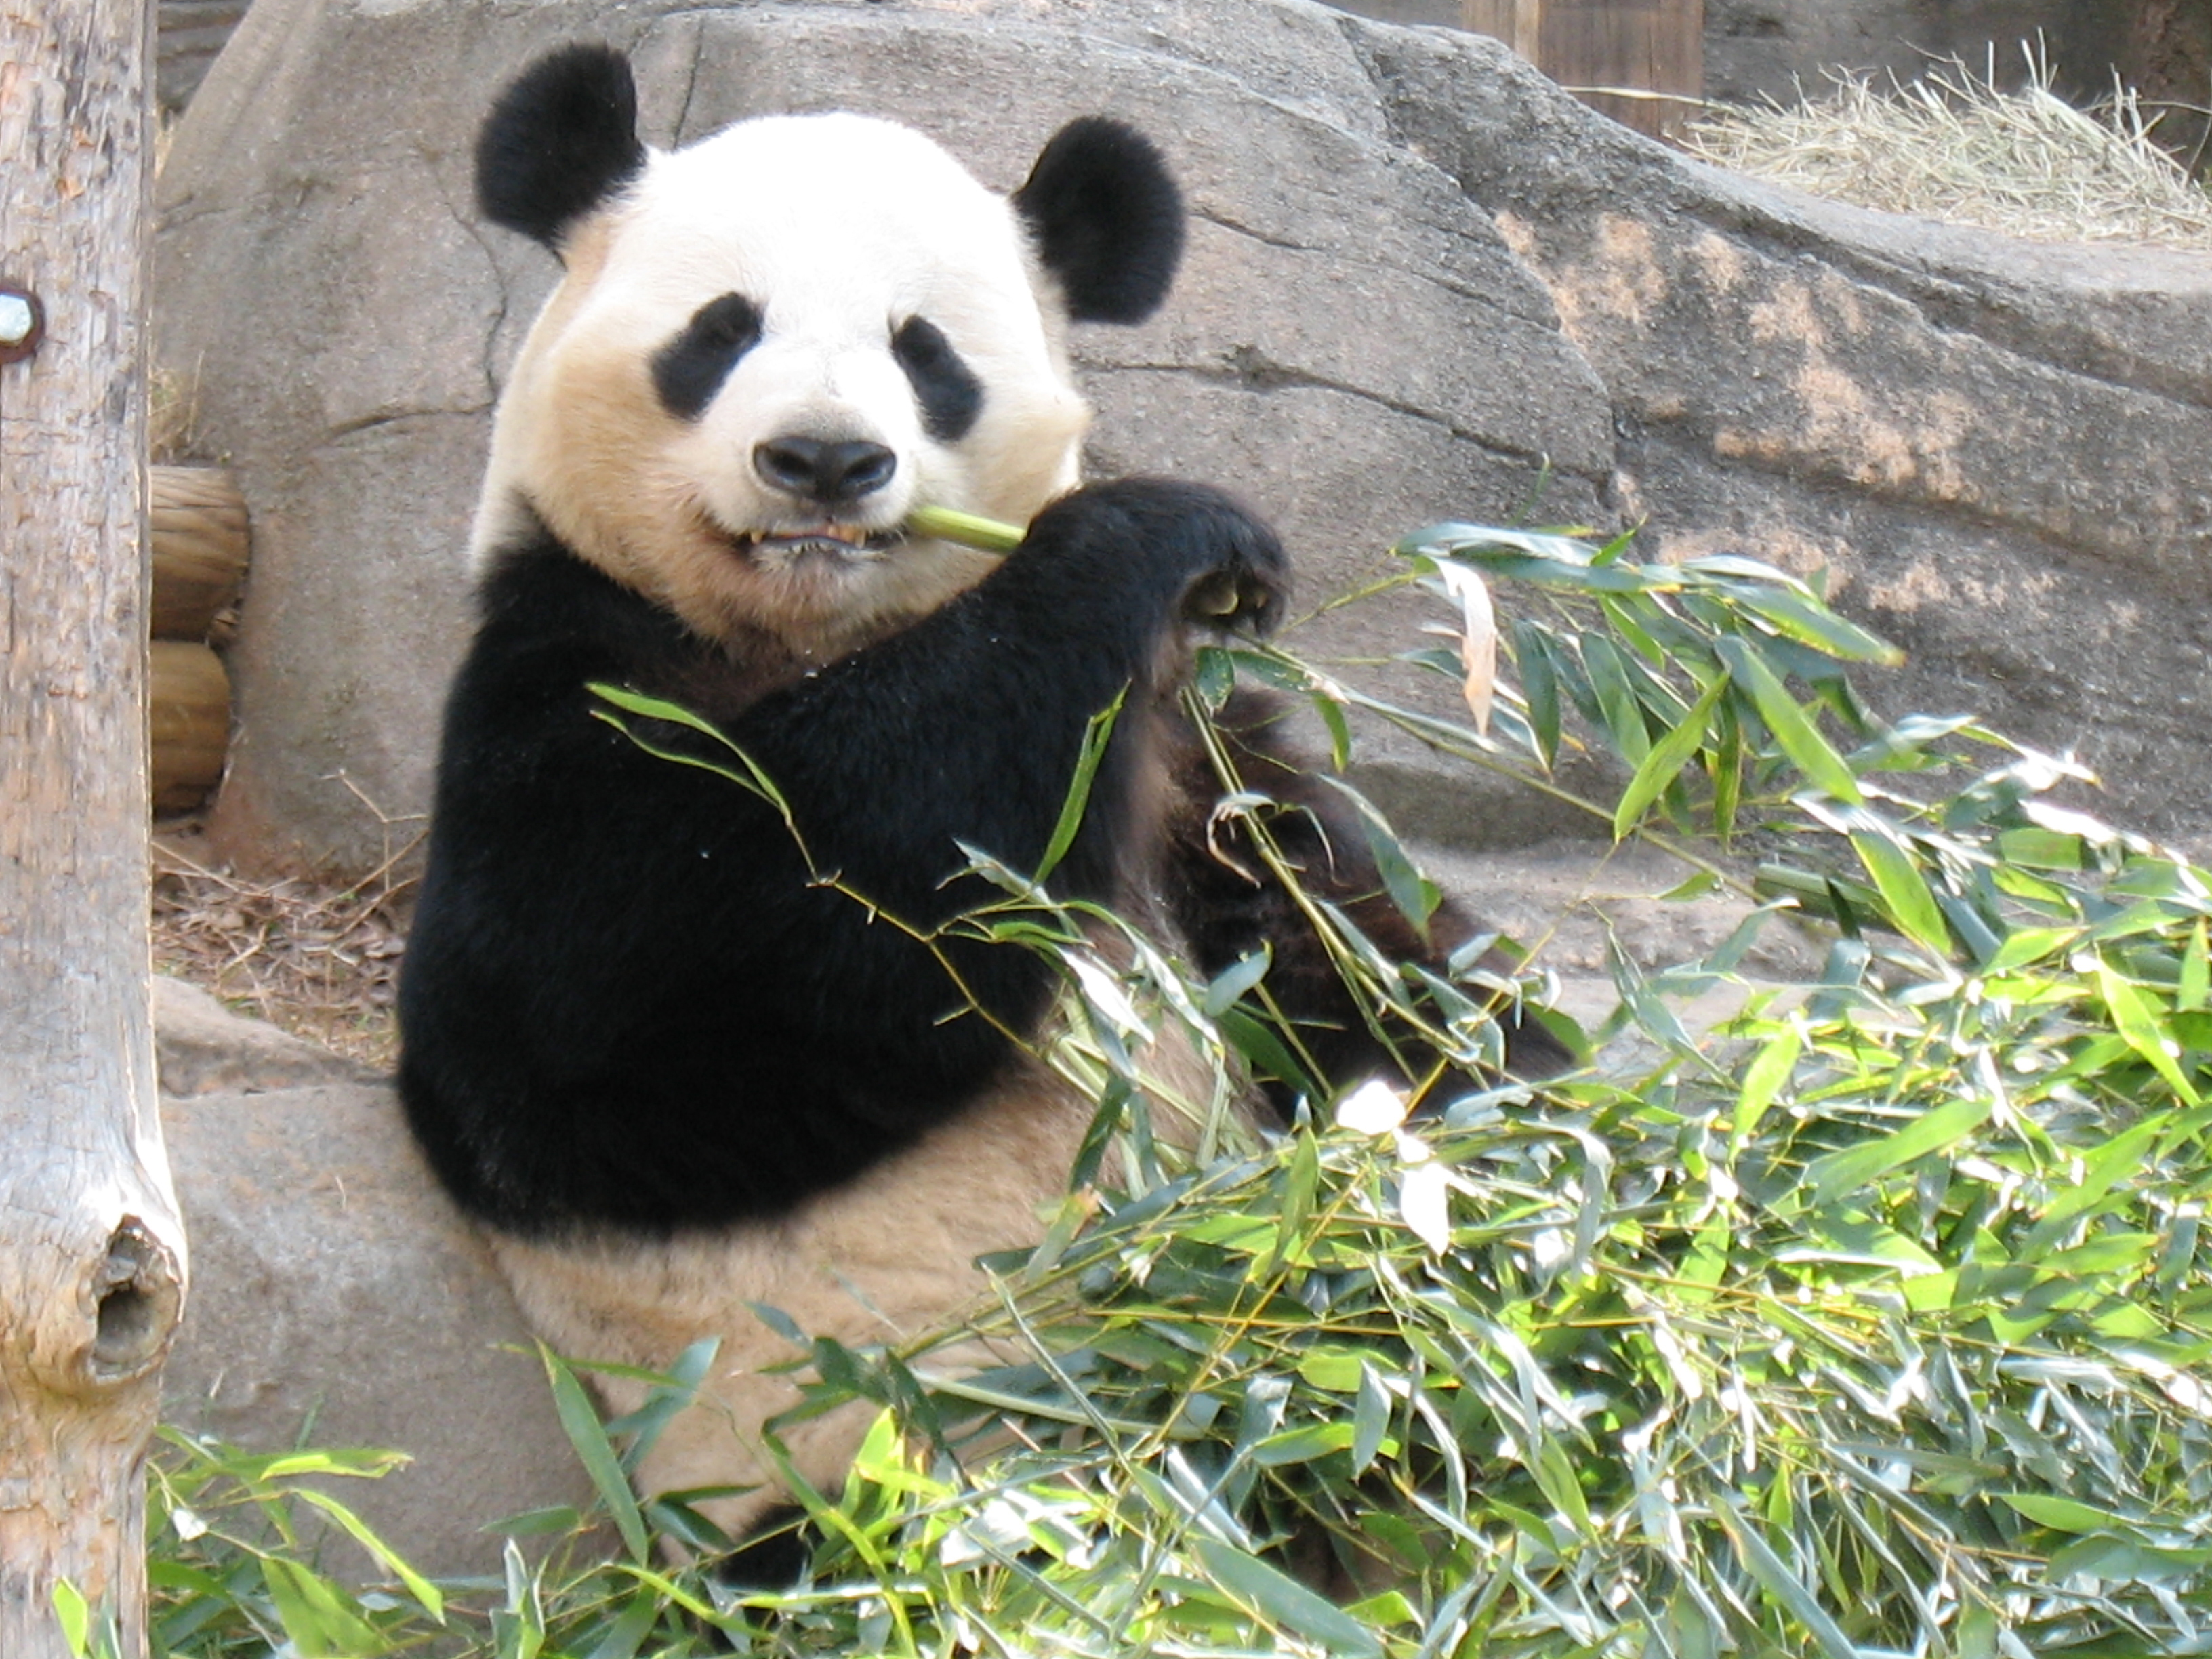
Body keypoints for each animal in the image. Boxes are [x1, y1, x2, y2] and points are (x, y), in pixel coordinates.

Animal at [397, 41, 1564, 1567]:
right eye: (721, 331)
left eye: (924, 352)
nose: (823, 462)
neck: (821, 635)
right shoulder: (570, 665)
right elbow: (612, 1010)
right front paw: (1163, 529)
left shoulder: (1187, 755)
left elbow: (1366, 965)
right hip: (862, 1475)